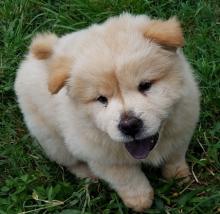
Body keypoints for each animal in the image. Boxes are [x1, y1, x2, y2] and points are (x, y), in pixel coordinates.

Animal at [14, 13, 199, 212]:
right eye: (101, 99)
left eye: (145, 85)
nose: (129, 125)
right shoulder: (104, 159)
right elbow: (129, 179)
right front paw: (140, 201)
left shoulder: (181, 128)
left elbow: (175, 156)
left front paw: (179, 176)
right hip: (52, 140)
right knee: (71, 161)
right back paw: (88, 175)